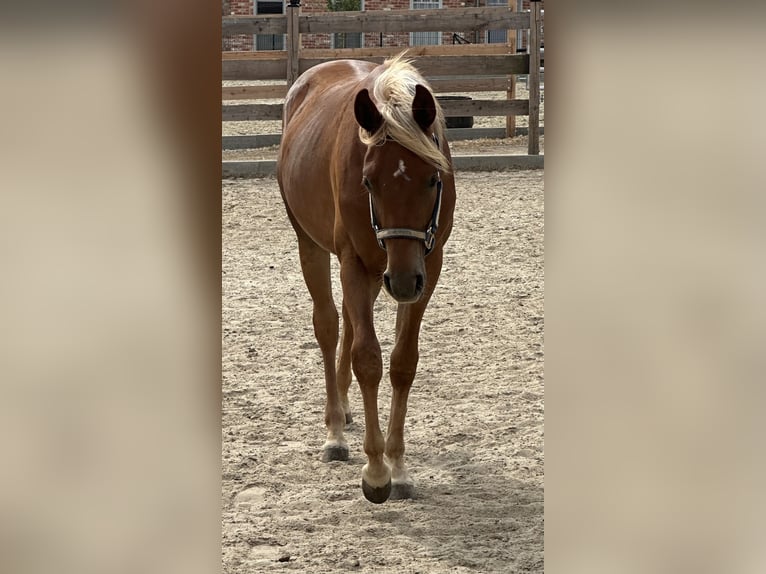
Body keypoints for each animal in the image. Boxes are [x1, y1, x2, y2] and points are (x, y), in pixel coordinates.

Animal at [276, 54, 456, 504]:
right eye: (368, 180)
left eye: (433, 178)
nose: (405, 281)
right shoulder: (356, 263)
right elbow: (368, 359)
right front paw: (376, 471)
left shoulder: (427, 267)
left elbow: (402, 363)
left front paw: (399, 466)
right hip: (314, 246)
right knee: (328, 324)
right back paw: (335, 431)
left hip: (381, 271)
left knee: (347, 320)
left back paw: (344, 410)